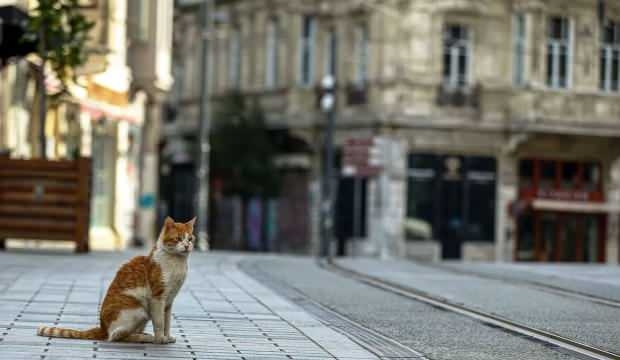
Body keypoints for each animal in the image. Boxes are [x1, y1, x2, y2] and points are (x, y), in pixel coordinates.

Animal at [37, 217, 196, 344]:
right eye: (178, 238)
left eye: (190, 239)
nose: (187, 245)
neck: (177, 264)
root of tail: (102, 328)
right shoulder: (158, 298)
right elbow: (159, 322)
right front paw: (160, 339)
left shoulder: (169, 302)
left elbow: (167, 322)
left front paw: (167, 337)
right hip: (139, 310)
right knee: (116, 336)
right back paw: (146, 338)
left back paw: (143, 335)